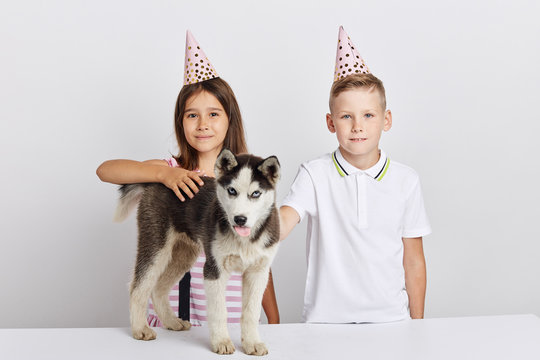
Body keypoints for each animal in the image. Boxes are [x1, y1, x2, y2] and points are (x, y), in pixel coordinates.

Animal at [115, 148, 280, 354]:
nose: (239, 219)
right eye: (232, 191)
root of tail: (156, 180)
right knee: (138, 287)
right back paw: (140, 329)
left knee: (159, 288)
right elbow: (219, 311)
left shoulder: (258, 272)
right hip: (156, 244)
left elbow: (251, 311)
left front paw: (252, 343)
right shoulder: (214, 269)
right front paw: (222, 341)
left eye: (256, 193)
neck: (243, 239)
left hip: (184, 254)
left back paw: (172, 322)